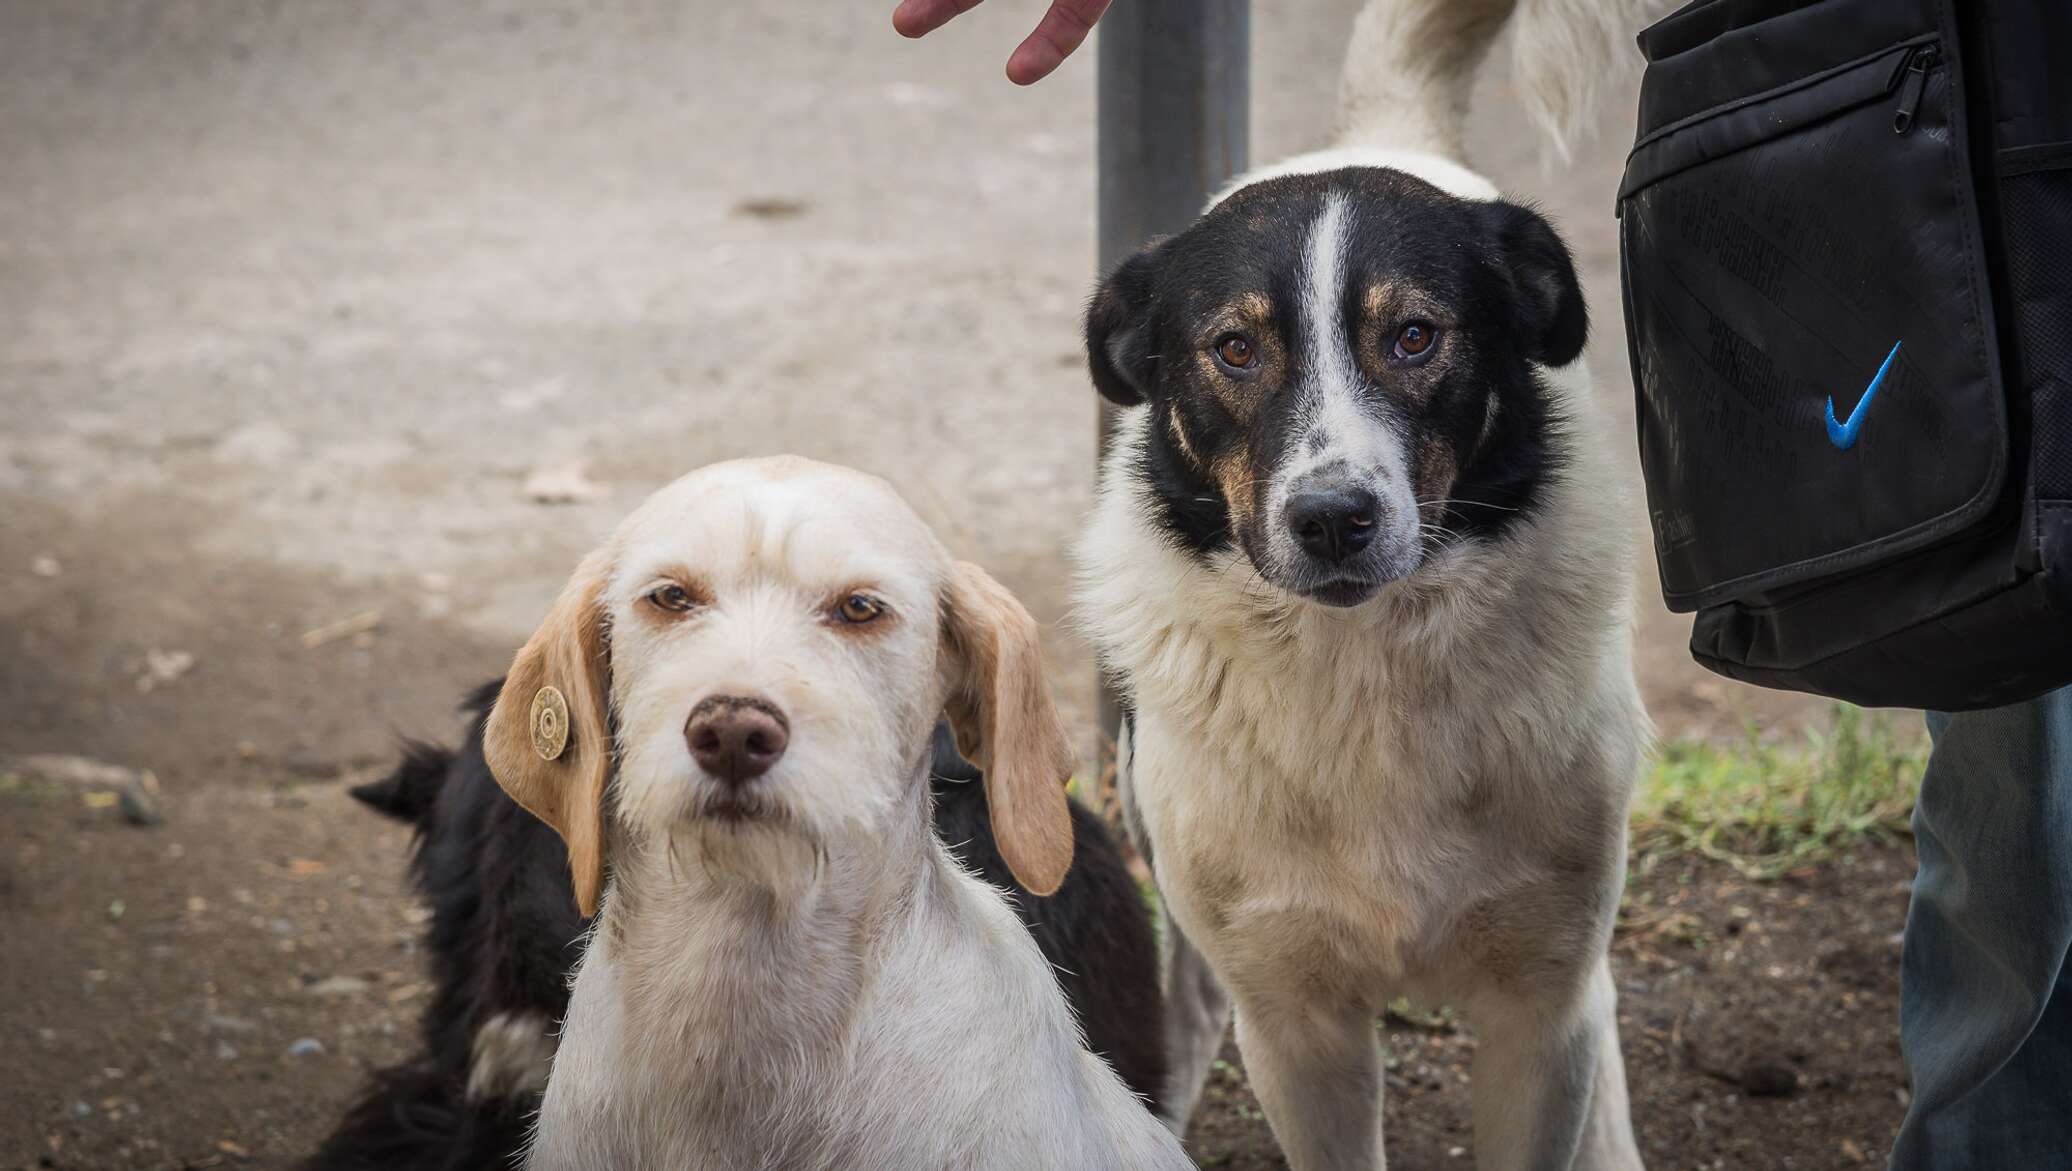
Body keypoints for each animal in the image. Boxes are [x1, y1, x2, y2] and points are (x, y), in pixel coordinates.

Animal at [1077, 2, 1657, 1168]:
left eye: (1415, 335)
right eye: (1234, 348)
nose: (1333, 519)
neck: (1367, 673)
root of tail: (1380, 129)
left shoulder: (1537, 1008)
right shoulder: (1296, 1022)